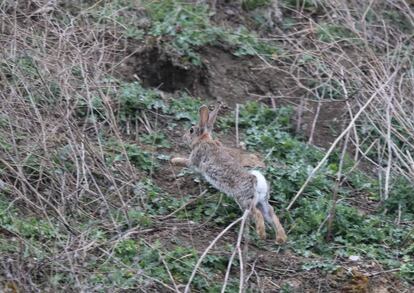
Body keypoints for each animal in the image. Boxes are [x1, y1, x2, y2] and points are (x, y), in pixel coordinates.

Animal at [170, 104, 286, 243]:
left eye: (191, 130)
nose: (183, 137)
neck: (203, 140)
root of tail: (257, 182)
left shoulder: (195, 160)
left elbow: (186, 162)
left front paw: (174, 160)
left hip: (244, 200)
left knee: (257, 213)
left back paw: (261, 235)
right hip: (261, 201)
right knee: (271, 213)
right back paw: (281, 238)